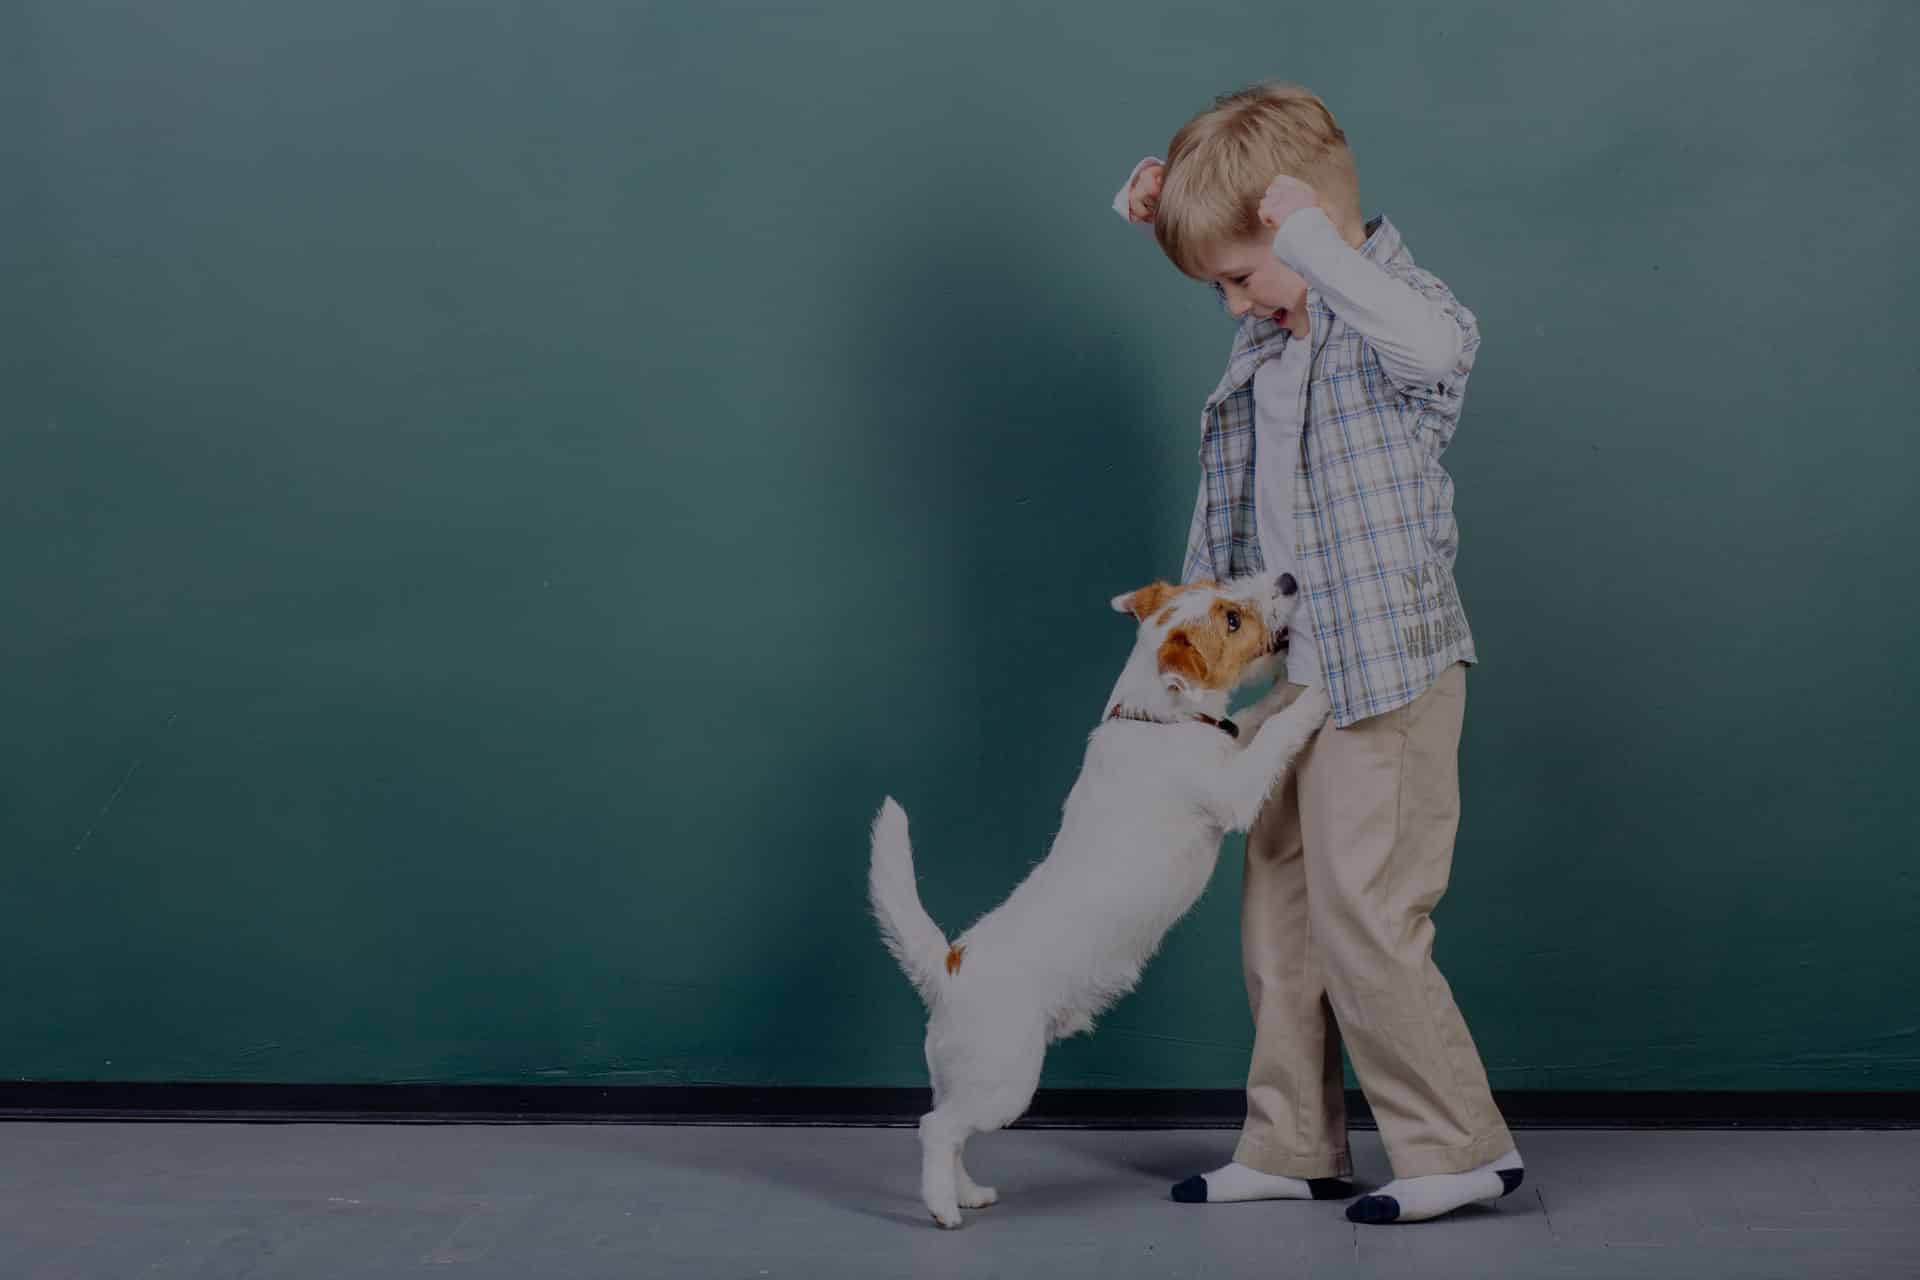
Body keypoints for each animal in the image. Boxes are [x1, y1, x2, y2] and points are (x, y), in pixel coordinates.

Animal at [864, 571, 1328, 1228]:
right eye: (1231, 618)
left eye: (1221, 585)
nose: (1287, 579)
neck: (1156, 718)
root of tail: (949, 965)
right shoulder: (1235, 791)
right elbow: (1274, 734)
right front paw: (1319, 695)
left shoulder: (1232, 742)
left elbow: (1254, 717)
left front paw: (1289, 687)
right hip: (1004, 1082)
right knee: (935, 1129)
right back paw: (943, 1210)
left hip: (966, 1079)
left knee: (951, 1134)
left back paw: (967, 1193)